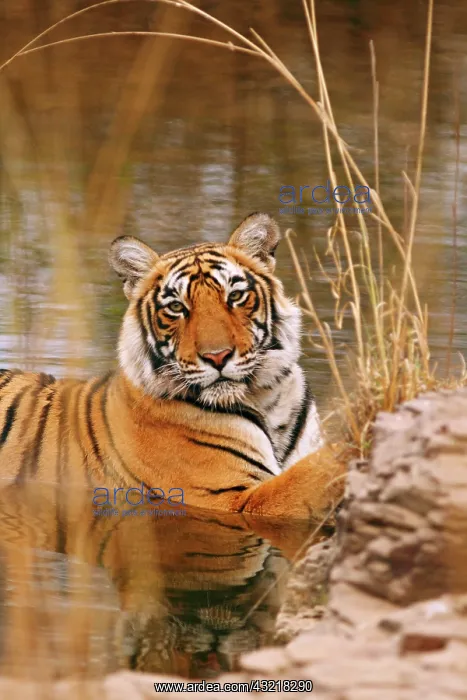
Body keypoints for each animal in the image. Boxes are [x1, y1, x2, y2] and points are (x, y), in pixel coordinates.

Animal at [0, 212, 345, 520]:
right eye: (177, 307)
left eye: (235, 296)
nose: (218, 356)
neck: (267, 400)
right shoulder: (233, 499)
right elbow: (313, 475)